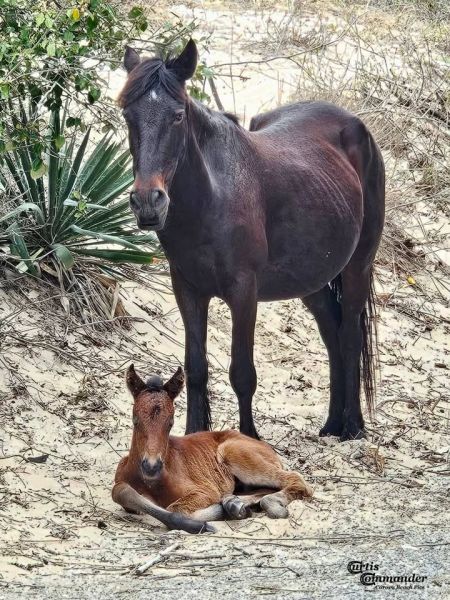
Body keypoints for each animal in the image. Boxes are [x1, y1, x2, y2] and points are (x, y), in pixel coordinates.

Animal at [112, 365, 313, 533]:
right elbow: (121, 492)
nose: (151, 466)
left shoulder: (206, 491)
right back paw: (235, 504)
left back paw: (262, 505)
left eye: (170, 422)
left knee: (295, 480)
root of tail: (266, 447)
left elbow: (176, 508)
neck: (152, 482)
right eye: (135, 420)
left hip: (234, 452)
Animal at [119, 40, 385, 442]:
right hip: (312, 281)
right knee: (332, 335)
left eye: (178, 116)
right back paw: (332, 424)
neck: (212, 198)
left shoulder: (244, 292)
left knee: (350, 336)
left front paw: (248, 440)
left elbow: (242, 374)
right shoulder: (188, 289)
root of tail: (356, 127)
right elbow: (196, 370)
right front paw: (194, 436)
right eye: (128, 115)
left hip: (358, 266)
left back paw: (352, 427)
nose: (148, 202)